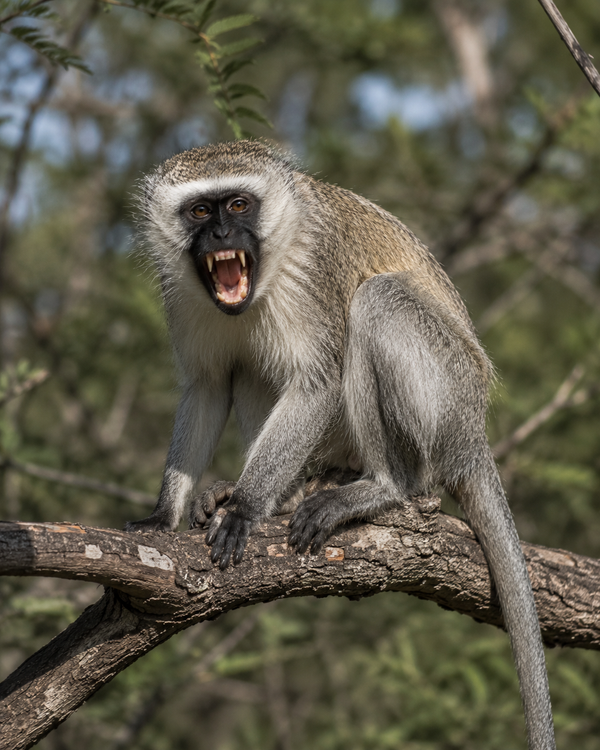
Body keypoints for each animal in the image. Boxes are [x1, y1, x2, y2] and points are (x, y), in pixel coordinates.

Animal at [126, 140, 555, 750]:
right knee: (248, 364)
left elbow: (319, 382)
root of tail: (474, 433)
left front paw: (247, 508)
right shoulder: (181, 294)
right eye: (200, 212)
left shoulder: (315, 271)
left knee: (377, 303)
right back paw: (287, 493)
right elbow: (207, 386)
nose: (221, 236)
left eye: (239, 204)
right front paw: (166, 513)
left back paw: (378, 488)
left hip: (447, 394)